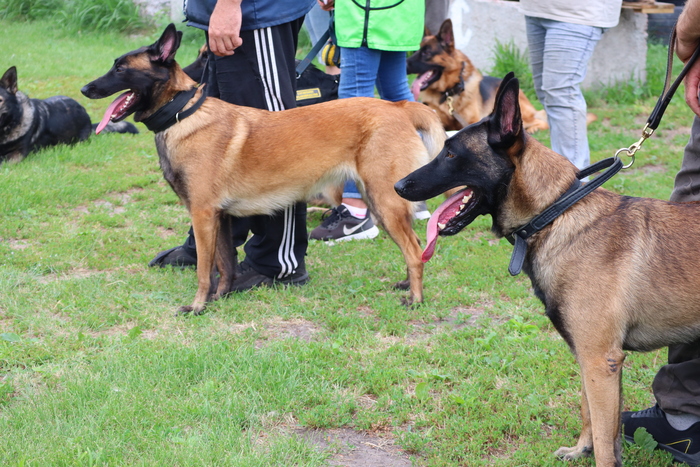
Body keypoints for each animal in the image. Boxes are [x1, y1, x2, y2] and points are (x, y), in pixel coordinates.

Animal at [80, 25, 442, 316]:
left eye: (120, 68)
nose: (85, 90)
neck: (182, 113)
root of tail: (398, 106)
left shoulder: (202, 215)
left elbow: (203, 269)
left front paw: (197, 306)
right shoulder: (220, 218)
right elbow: (224, 265)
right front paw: (220, 298)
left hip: (384, 200)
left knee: (414, 251)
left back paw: (416, 299)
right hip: (380, 201)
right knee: (415, 247)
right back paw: (405, 285)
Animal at [396, 73, 700, 467]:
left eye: (450, 153)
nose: (398, 186)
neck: (555, 214)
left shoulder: (600, 360)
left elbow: (605, 440)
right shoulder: (591, 360)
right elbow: (592, 418)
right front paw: (581, 448)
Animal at [408, 18, 548, 133]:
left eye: (426, 52)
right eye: (415, 51)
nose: (405, 65)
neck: (448, 93)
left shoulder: (471, 121)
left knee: (541, 120)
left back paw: (533, 129)